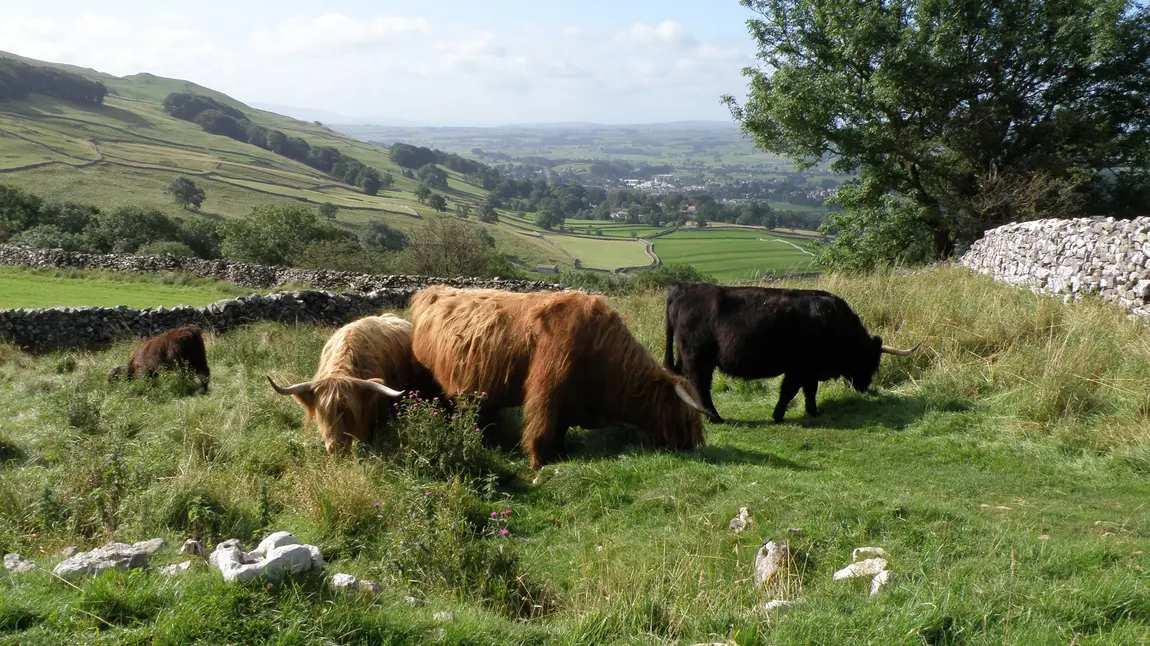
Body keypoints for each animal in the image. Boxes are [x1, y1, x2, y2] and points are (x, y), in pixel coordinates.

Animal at [404, 285, 708, 466]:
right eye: (686, 418)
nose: (692, 446)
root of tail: (432, 290)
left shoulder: (568, 403)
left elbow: (560, 430)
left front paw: (561, 453)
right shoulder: (546, 390)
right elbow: (540, 429)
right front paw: (539, 465)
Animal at [667, 281, 915, 423]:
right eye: (871, 361)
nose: (865, 386)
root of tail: (683, 290)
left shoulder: (809, 370)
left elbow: (809, 391)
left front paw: (813, 412)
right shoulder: (800, 368)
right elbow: (790, 391)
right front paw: (778, 415)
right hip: (697, 357)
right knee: (700, 385)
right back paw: (714, 417)